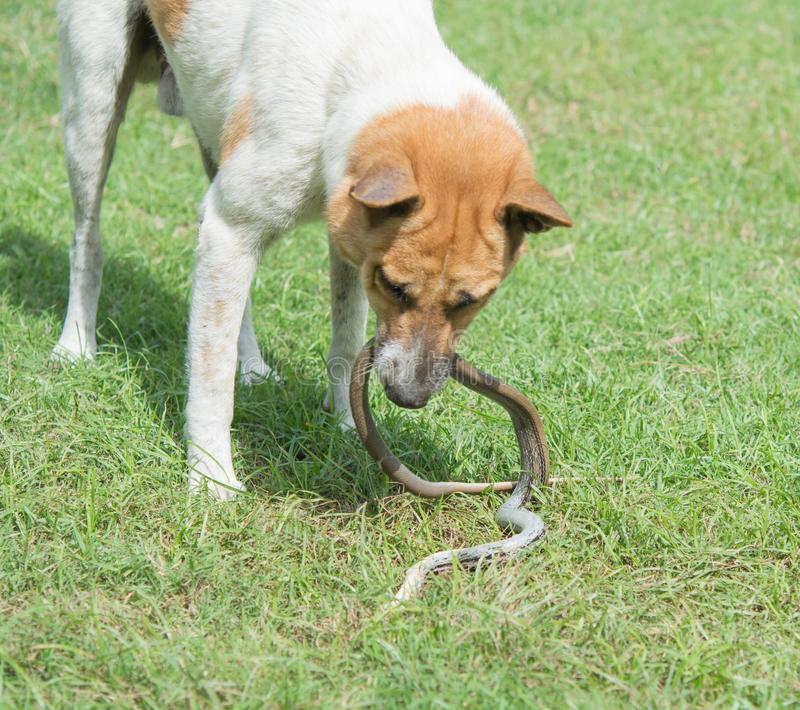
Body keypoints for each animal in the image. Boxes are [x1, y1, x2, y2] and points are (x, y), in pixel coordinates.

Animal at [53, 0, 572, 500]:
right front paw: (212, 476)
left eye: (473, 300)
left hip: (213, 138)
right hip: (93, 104)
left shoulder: (347, 240)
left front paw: (346, 425)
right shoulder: (232, 226)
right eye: (394, 287)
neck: (360, 62)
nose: (409, 397)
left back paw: (252, 365)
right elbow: (210, 375)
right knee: (88, 241)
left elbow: (344, 340)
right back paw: (76, 343)